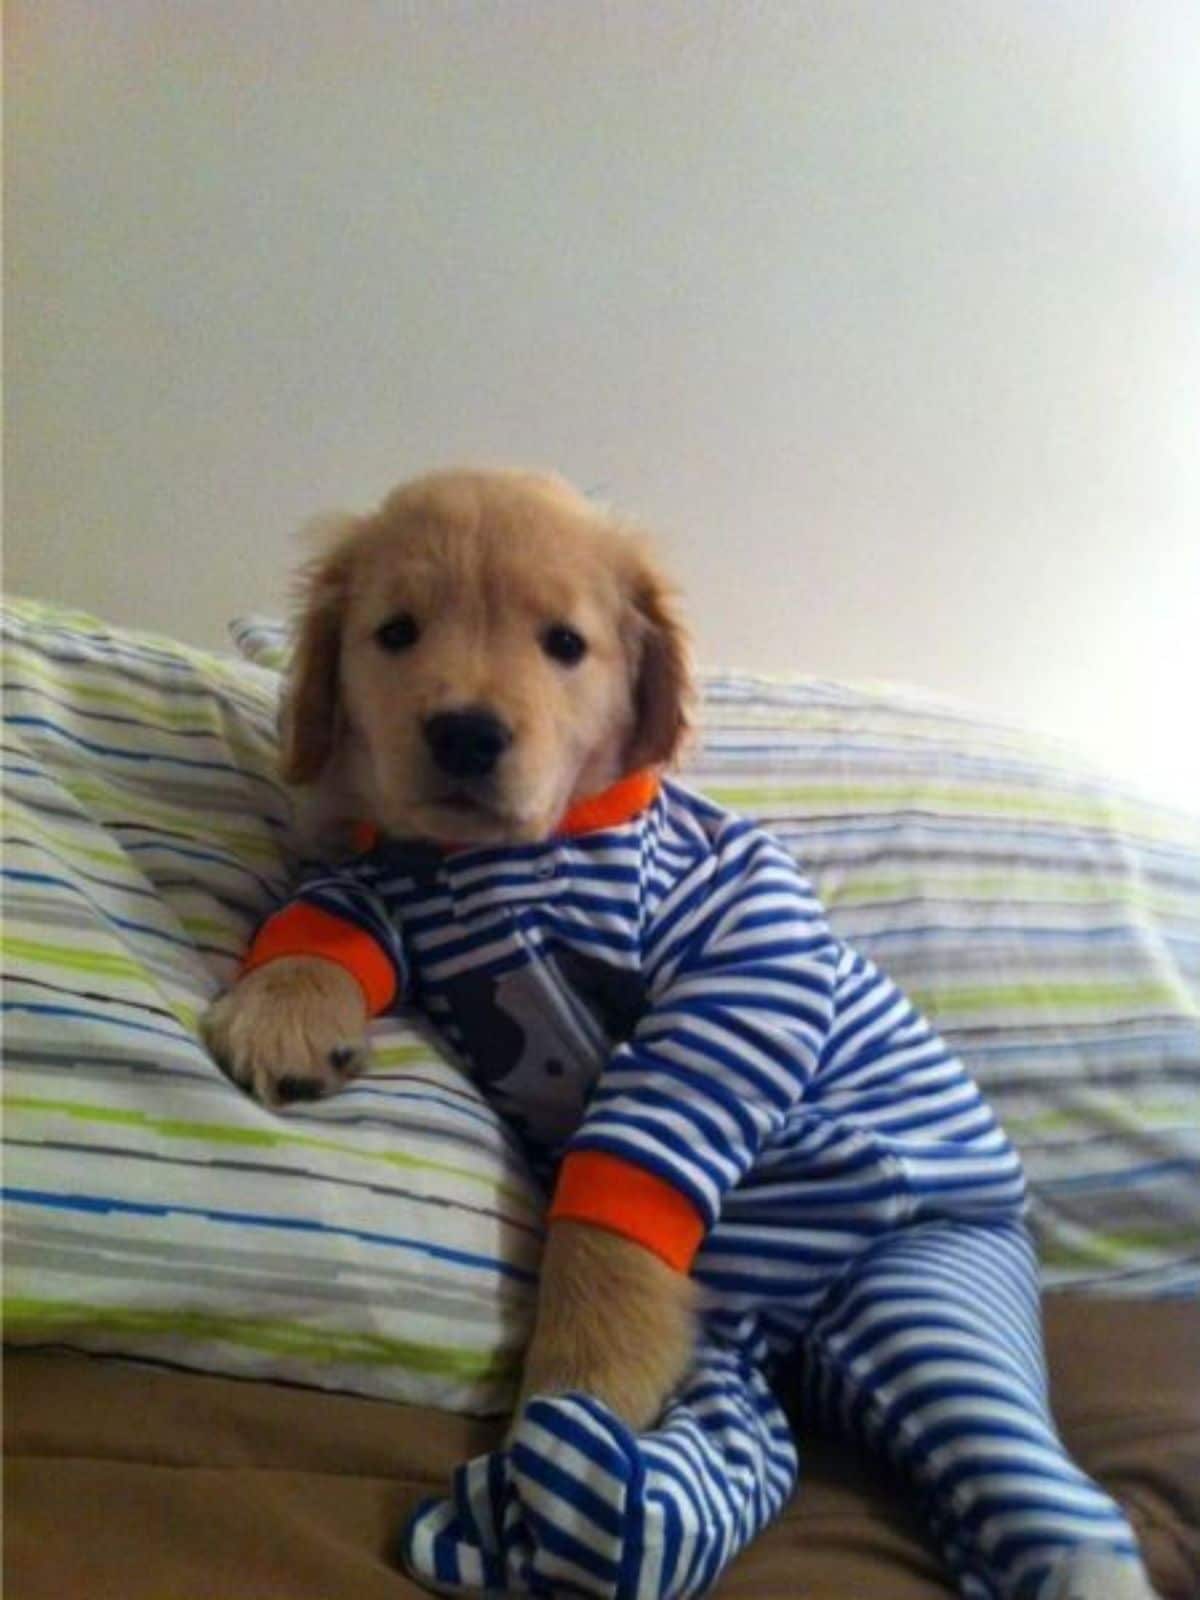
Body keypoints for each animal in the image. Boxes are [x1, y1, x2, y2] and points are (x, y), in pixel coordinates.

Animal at [206, 467, 694, 1433]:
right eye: (397, 632)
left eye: (566, 644)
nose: (466, 734)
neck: (486, 859)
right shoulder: (371, 878)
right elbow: (319, 930)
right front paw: (282, 1017)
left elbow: (619, 1204)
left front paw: (590, 1375)